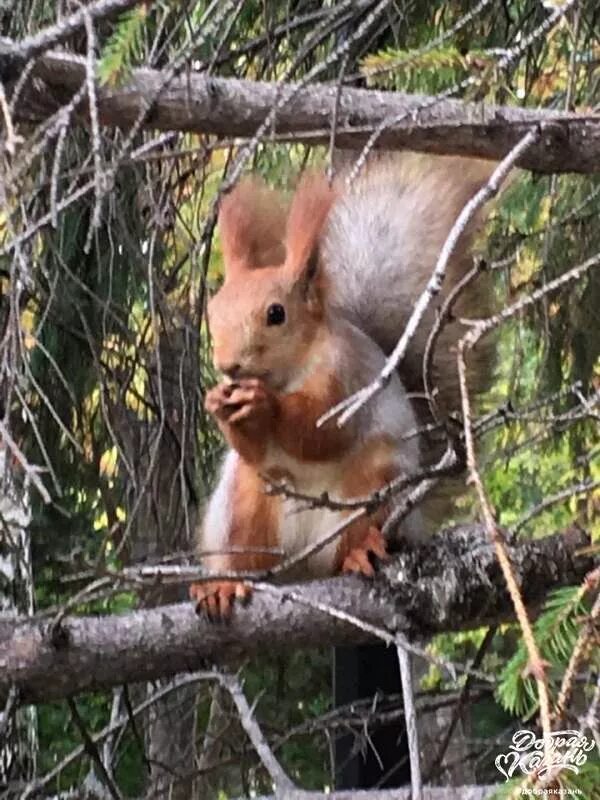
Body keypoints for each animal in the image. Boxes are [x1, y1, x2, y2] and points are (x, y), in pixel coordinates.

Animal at [190, 155, 494, 620]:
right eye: (214, 310)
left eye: (276, 314)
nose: (228, 366)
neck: (289, 373)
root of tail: (305, 569)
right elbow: (256, 448)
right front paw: (219, 404)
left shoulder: (346, 379)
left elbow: (321, 433)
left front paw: (264, 405)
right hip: (246, 505)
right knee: (251, 555)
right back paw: (225, 584)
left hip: (372, 488)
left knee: (354, 537)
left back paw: (358, 553)